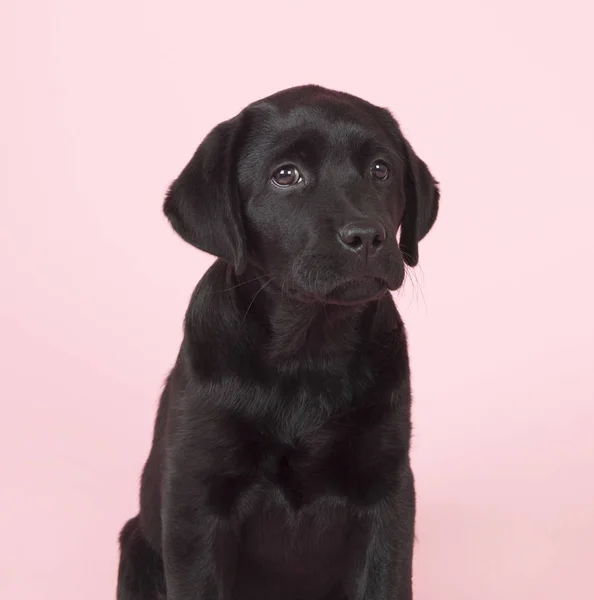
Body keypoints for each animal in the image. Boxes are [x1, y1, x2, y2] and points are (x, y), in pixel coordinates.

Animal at [115, 84, 438, 600]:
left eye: (381, 170)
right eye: (286, 175)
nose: (368, 236)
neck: (308, 349)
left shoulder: (388, 491)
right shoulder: (195, 501)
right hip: (135, 546)